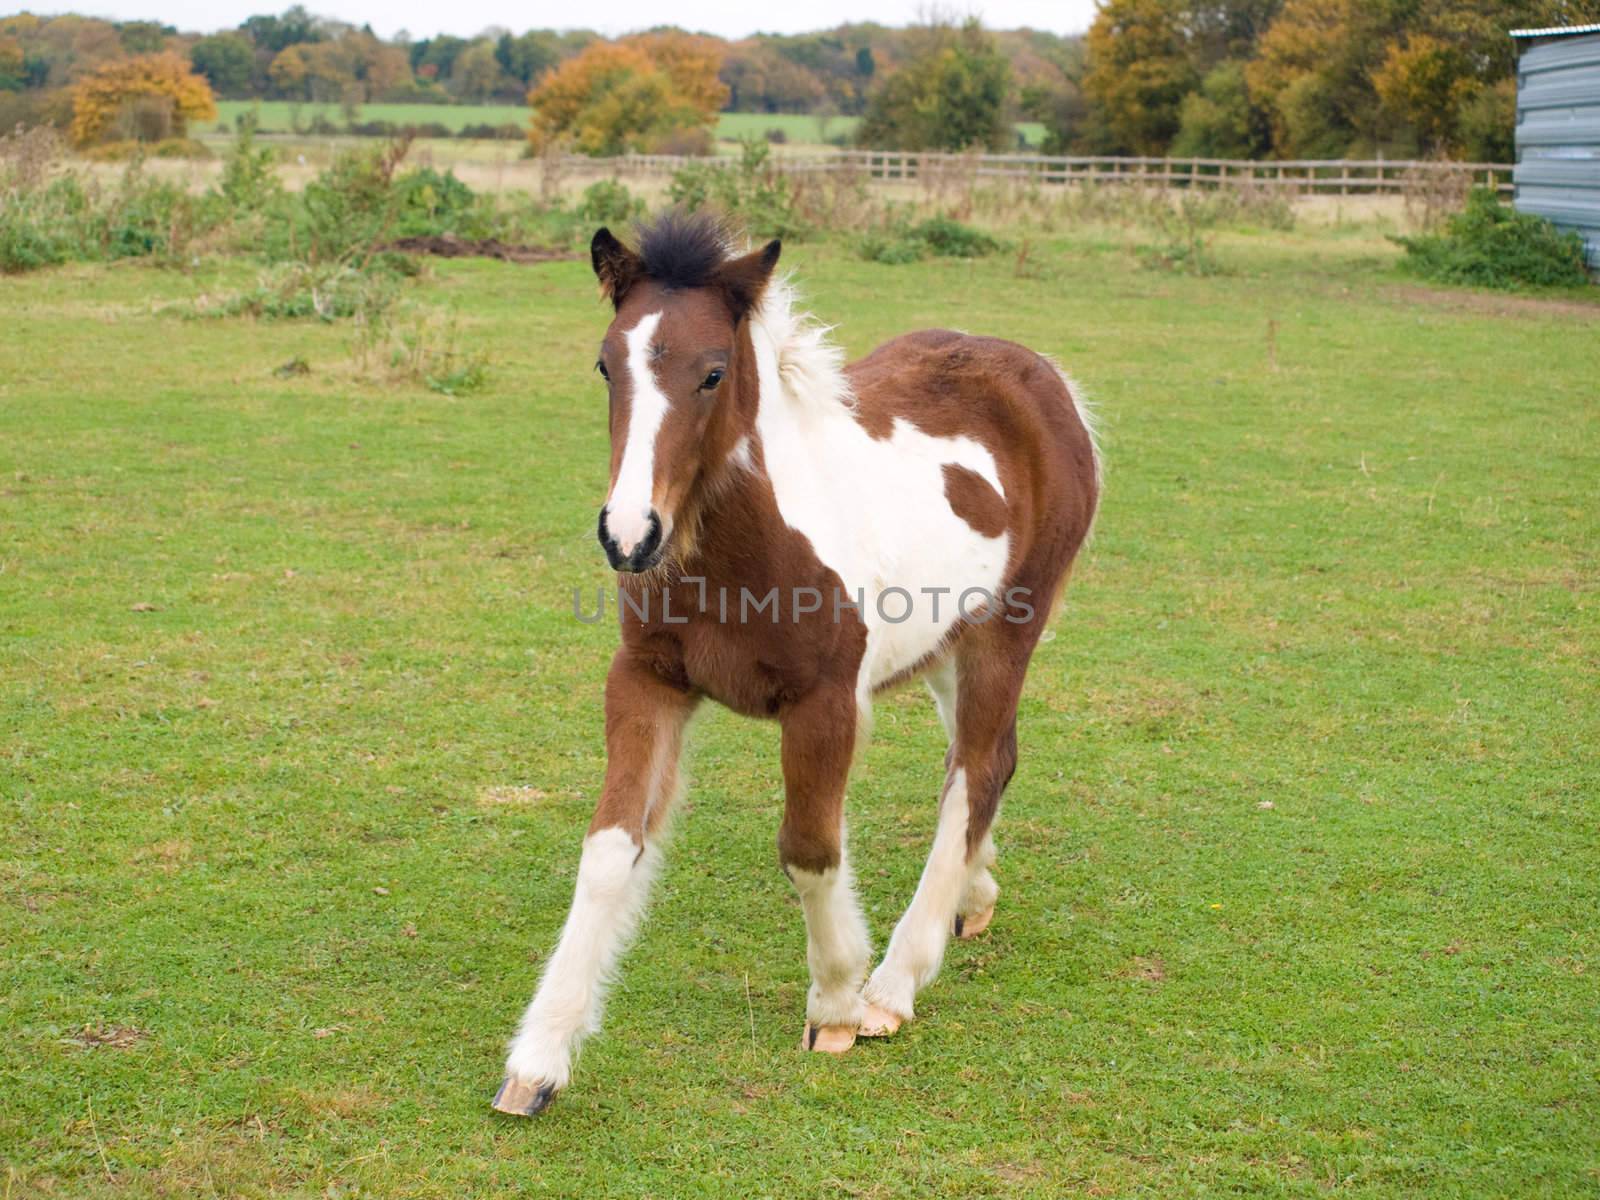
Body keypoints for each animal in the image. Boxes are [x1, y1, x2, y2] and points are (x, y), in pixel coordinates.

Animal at [496, 214, 1100, 1120]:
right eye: (607, 364)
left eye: (713, 372)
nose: (629, 536)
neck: (743, 549)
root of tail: (1046, 378)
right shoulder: (647, 680)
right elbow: (609, 848)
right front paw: (539, 1058)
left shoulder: (826, 703)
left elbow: (811, 847)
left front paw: (838, 1003)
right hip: (945, 644)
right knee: (980, 760)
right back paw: (974, 897)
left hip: (1005, 633)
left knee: (980, 767)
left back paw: (895, 984)